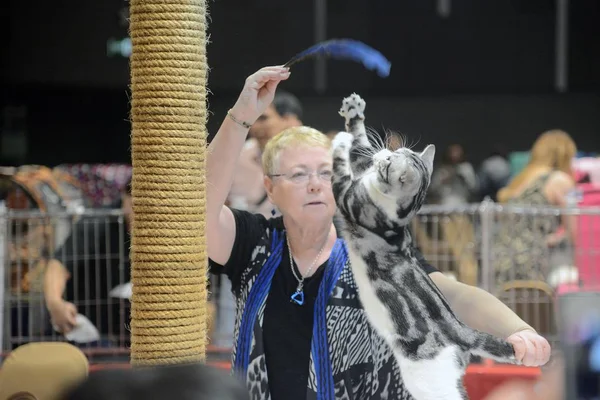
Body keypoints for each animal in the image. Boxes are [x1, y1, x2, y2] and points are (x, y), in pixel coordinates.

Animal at [330, 93, 516, 400]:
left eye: (390, 160)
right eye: (394, 153)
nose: (383, 153)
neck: (399, 212)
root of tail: (461, 330)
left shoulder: (349, 196)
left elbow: (345, 162)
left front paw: (341, 140)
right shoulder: (359, 179)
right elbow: (361, 146)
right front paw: (354, 113)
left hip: (428, 381)